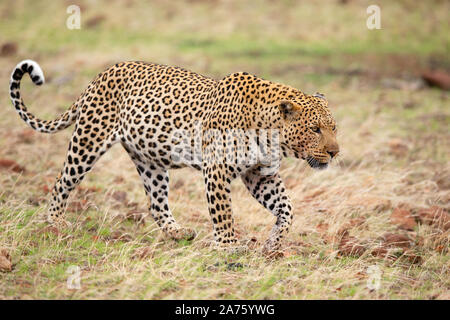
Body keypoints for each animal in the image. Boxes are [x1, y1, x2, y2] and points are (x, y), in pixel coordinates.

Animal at [8, 60, 340, 255]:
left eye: (333, 128)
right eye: (315, 129)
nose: (335, 152)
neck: (271, 135)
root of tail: (102, 74)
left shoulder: (259, 174)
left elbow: (287, 208)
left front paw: (273, 243)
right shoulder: (217, 170)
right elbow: (223, 213)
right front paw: (229, 248)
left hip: (151, 161)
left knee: (156, 204)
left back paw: (178, 233)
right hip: (89, 140)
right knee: (62, 180)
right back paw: (54, 222)